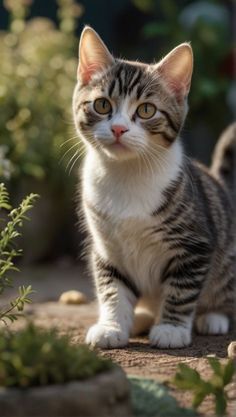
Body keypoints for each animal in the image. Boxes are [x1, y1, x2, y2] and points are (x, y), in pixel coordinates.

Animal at [73, 26, 235, 348]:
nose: (118, 128)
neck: (127, 174)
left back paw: (213, 317)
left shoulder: (195, 245)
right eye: (102, 105)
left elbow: (181, 289)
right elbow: (112, 288)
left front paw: (171, 328)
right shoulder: (106, 248)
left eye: (146, 110)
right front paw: (112, 326)